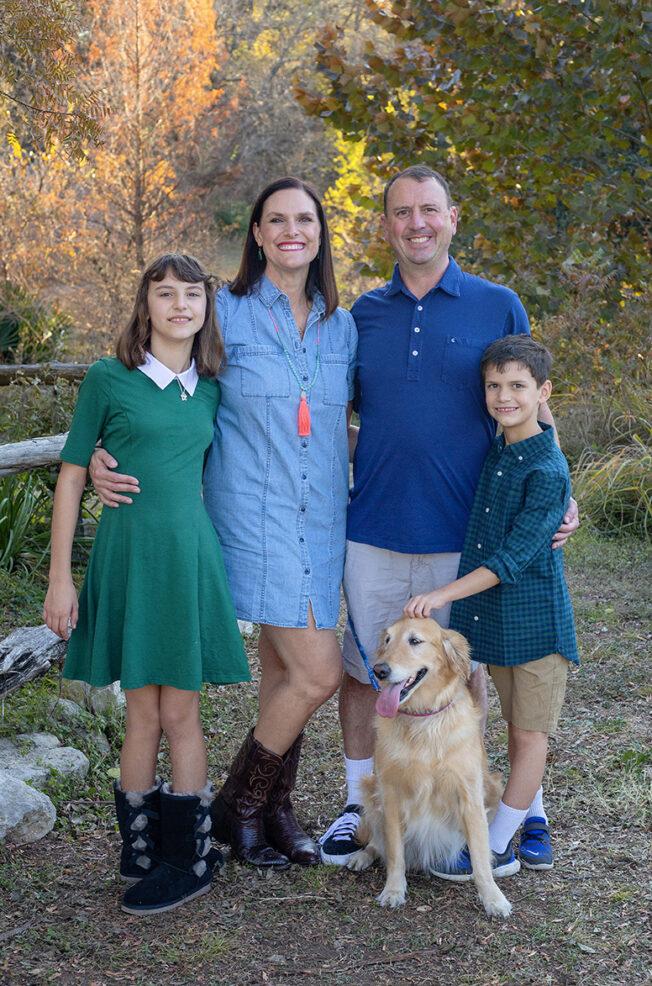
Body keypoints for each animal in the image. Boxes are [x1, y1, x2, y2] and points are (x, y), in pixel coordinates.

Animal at [348, 616, 512, 916]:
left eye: (415, 641)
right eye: (387, 640)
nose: (379, 670)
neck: (422, 720)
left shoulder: (470, 796)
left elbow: (480, 858)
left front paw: (493, 897)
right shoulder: (390, 794)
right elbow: (395, 854)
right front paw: (393, 890)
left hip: (493, 786)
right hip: (370, 787)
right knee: (377, 841)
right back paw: (362, 856)